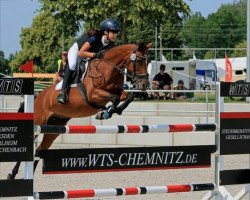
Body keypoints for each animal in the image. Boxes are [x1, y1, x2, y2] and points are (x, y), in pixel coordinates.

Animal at [8, 41, 152, 179]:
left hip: (54, 128)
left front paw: (113, 111)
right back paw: (12, 174)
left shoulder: (117, 91)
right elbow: (115, 98)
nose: (144, 85)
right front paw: (104, 113)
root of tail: (38, 96)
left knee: (40, 149)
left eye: (148, 61)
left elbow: (128, 96)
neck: (107, 68)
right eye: (139, 61)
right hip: (38, 122)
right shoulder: (93, 94)